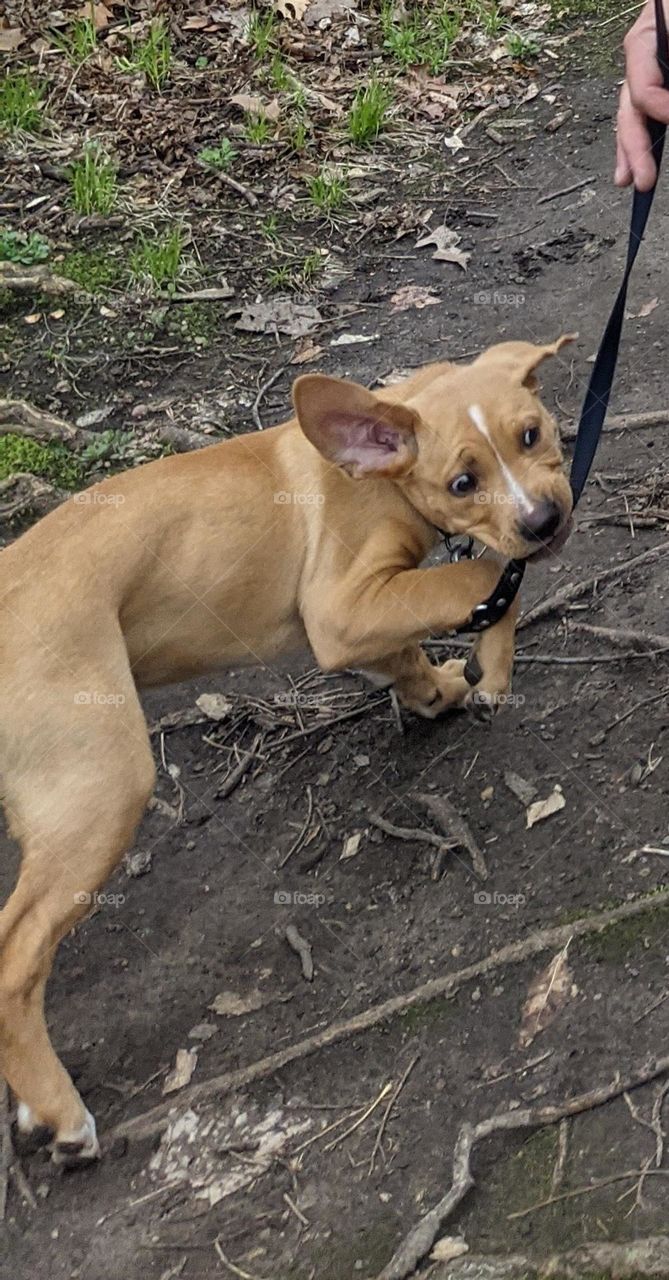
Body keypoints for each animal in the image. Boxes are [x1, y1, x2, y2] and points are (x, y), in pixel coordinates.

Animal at [0, 335, 575, 1167]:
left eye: (531, 434)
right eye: (462, 482)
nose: (544, 518)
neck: (371, 474)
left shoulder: (351, 621)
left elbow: (405, 650)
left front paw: (434, 689)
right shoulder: (339, 604)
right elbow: (488, 574)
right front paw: (491, 666)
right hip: (101, 782)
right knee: (16, 956)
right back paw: (59, 1111)